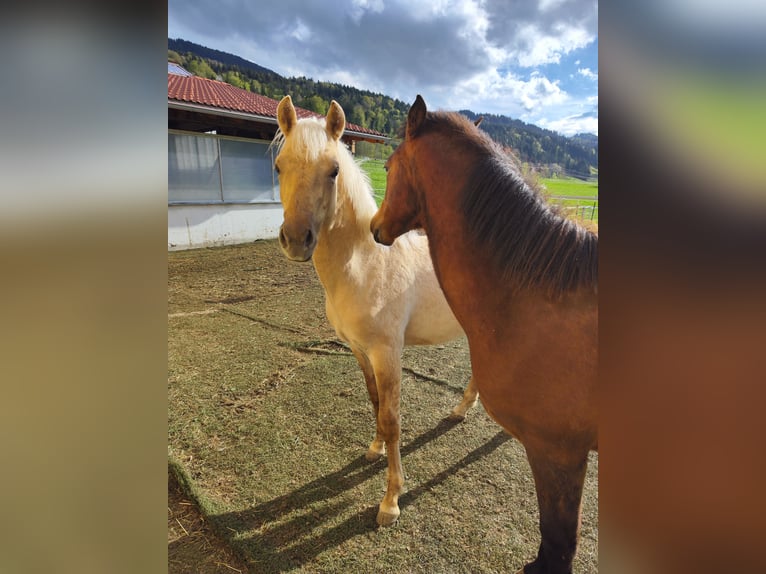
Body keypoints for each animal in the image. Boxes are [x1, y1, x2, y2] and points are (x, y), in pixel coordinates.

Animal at [272, 95, 479, 526]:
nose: (297, 240)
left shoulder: (388, 353)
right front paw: (374, 449)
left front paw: (390, 501)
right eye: (279, 166)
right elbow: (374, 401)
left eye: (333, 170)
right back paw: (460, 410)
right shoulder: (358, 349)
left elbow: (392, 417)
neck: (366, 263)